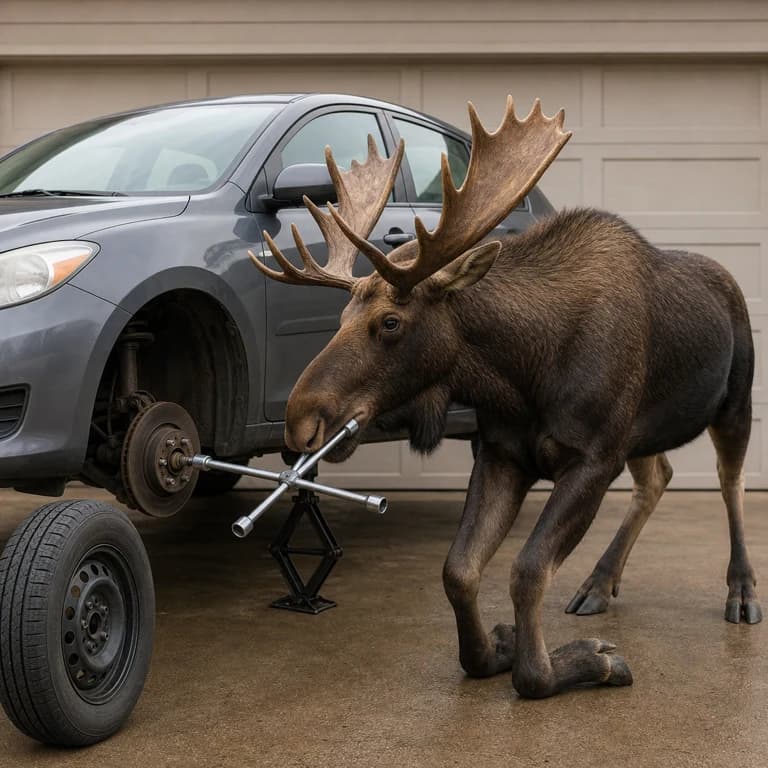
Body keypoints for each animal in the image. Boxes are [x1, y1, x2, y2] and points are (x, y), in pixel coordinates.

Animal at [249, 96, 762, 698]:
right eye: (340, 316)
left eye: (391, 322)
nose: (300, 418)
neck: (523, 374)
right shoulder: (503, 453)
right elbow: (459, 570)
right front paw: (495, 646)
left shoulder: (593, 458)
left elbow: (527, 574)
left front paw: (583, 661)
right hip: (641, 431)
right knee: (658, 477)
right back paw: (598, 582)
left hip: (735, 400)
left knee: (731, 482)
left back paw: (741, 591)